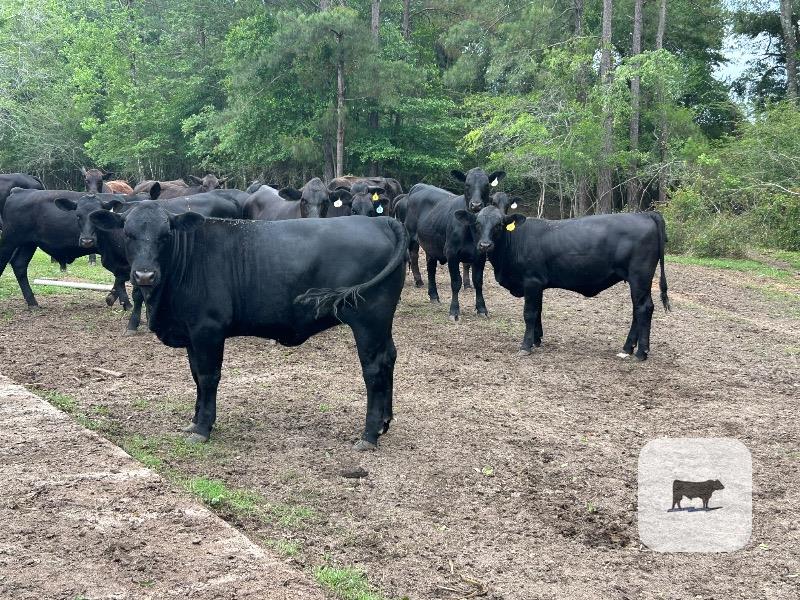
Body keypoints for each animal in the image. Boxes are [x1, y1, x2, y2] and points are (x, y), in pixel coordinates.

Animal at [54, 189, 243, 333]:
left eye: (94, 215)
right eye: (78, 215)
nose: (87, 241)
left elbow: (138, 293)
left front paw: (135, 320)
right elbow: (122, 283)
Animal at [90, 202, 408, 449]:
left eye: (165, 235)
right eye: (128, 233)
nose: (144, 275)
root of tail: (381, 220)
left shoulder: (208, 330)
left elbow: (208, 377)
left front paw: (203, 428)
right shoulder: (191, 334)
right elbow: (195, 376)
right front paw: (194, 422)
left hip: (369, 322)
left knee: (373, 370)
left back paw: (368, 434)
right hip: (382, 325)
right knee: (390, 358)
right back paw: (384, 422)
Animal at [404, 168, 506, 320]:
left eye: (486, 185)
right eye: (467, 184)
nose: (476, 205)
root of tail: (419, 186)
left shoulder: (481, 255)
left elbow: (478, 281)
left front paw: (482, 308)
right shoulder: (451, 253)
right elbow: (456, 282)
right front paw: (454, 310)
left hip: (431, 245)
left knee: (431, 268)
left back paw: (433, 295)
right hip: (410, 236)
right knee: (413, 257)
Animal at [454, 205, 670, 359]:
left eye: (499, 225)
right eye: (477, 224)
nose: (485, 245)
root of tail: (645, 214)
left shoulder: (531, 281)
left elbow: (529, 313)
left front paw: (526, 345)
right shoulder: (538, 285)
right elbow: (538, 311)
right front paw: (536, 339)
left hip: (639, 276)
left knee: (643, 308)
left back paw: (641, 353)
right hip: (637, 280)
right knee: (637, 310)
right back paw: (627, 348)